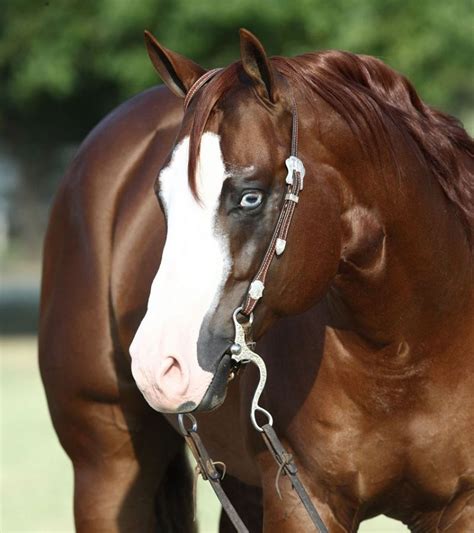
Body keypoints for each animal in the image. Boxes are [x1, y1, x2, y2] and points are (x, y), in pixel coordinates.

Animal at [39, 30, 474, 532]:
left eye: (250, 197)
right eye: (161, 197)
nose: (158, 367)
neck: (406, 353)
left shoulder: (460, 506)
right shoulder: (300, 501)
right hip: (106, 471)